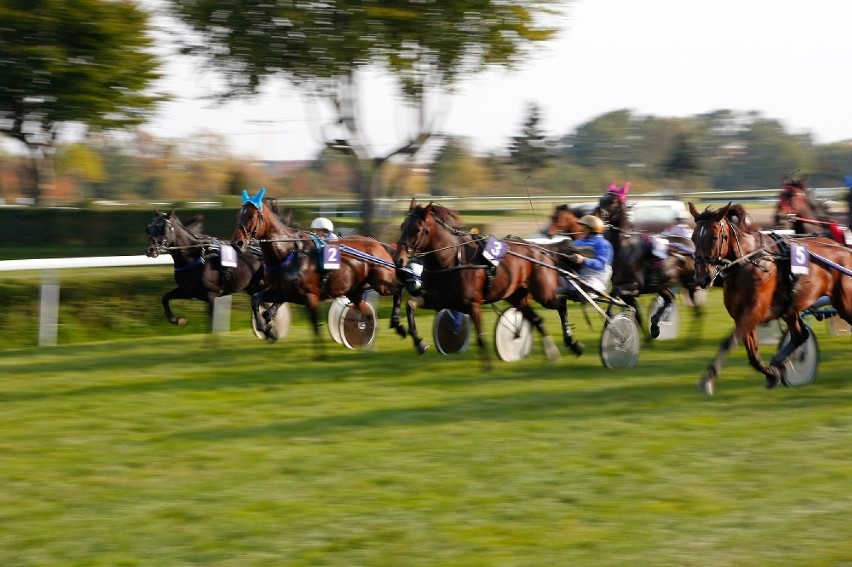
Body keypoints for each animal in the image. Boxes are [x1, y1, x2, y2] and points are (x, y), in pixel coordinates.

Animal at [231, 191, 408, 360]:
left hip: (381, 284)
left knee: (398, 290)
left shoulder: (310, 296)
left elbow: (314, 323)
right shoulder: (280, 291)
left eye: (251, 216)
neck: (287, 252)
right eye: (239, 215)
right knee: (367, 314)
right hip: (355, 291)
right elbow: (257, 301)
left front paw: (321, 354)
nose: (236, 243)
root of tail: (379, 244)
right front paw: (265, 327)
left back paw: (397, 324)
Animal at [394, 200, 572, 368]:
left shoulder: (473, 303)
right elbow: (410, 305)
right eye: (402, 226)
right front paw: (419, 343)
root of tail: (542, 249)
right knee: (538, 320)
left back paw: (571, 342)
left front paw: (487, 366)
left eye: (417, 229)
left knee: (561, 304)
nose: (398, 260)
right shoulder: (439, 301)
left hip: (543, 293)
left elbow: (480, 336)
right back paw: (552, 354)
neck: (452, 260)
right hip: (517, 297)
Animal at [596, 191, 704, 342]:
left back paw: (693, 338)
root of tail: (691, 245)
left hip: (690, 284)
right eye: (601, 200)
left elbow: (615, 293)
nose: (602, 215)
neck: (624, 248)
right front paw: (647, 336)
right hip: (662, 285)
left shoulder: (634, 286)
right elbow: (638, 315)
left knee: (698, 311)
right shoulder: (629, 293)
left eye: (612, 201)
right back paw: (655, 325)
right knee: (670, 298)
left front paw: (609, 324)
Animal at [688, 201, 848, 394]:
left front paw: (708, 379)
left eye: (714, 237)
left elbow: (729, 342)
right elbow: (753, 355)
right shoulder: (742, 315)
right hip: (791, 308)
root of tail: (844, 250)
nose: (701, 278)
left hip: (845, 303)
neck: (749, 261)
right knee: (800, 335)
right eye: (693, 237)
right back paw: (779, 361)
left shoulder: (754, 311)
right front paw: (773, 373)